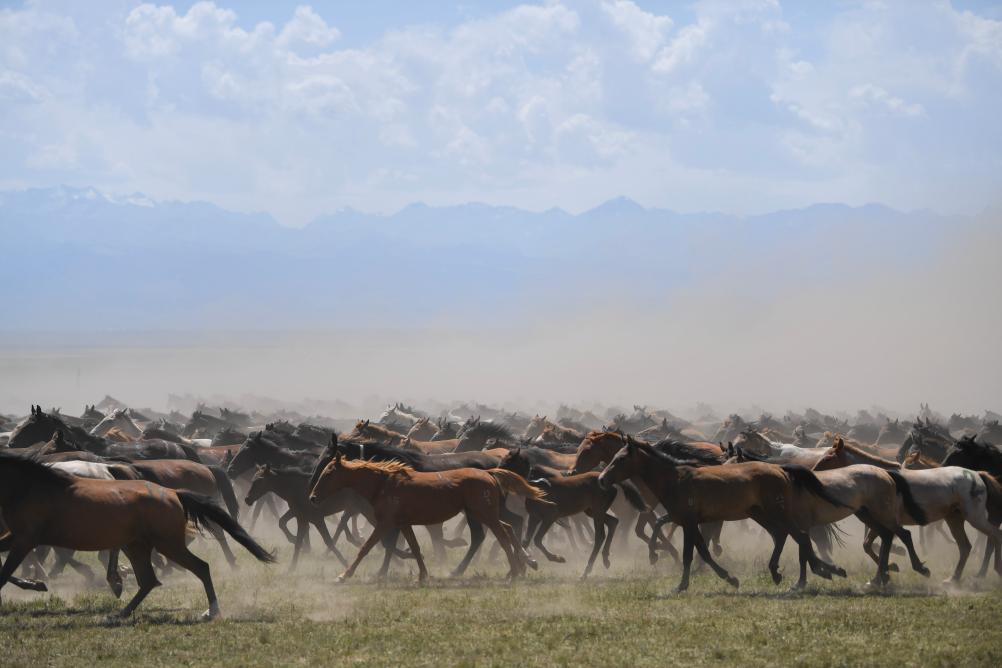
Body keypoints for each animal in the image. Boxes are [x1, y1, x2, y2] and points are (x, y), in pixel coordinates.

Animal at [0, 452, 274, 620]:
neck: (29, 487)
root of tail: (174, 493)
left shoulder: (26, 539)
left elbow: (4, 573)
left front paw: (37, 581)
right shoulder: (17, 537)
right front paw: (35, 582)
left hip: (167, 544)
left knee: (200, 567)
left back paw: (211, 610)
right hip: (137, 546)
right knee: (149, 580)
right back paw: (120, 609)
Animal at [597, 436, 841, 592]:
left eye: (620, 459)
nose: (601, 479)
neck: (676, 479)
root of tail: (781, 469)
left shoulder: (688, 522)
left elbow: (689, 554)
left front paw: (679, 584)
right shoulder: (690, 522)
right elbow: (703, 551)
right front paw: (730, 578)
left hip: (777, 513)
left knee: (799, 536)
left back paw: (823, 572)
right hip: (761, 515)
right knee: (784, 536)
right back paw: (784, 572)